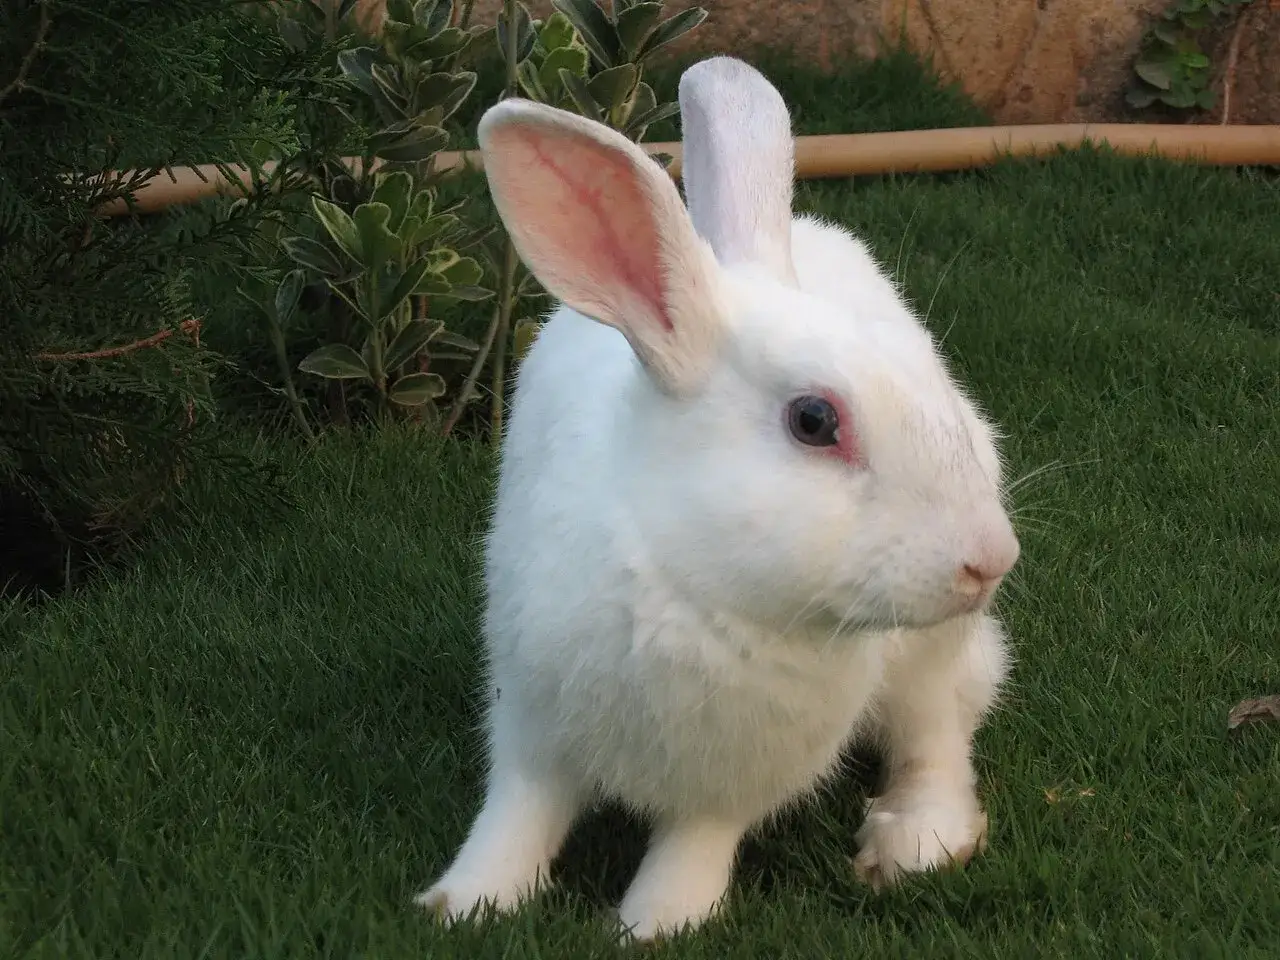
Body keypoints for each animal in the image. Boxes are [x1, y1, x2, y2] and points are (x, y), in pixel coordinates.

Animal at [415, 55, 1021, 942]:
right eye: (813, 421)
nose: (991, 559)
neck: (694, 587)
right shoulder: (528, 721)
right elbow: (515, 816)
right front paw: (463, 904)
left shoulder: (733, 783)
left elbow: (694, 842)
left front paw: (655, 924)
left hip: (930, 657)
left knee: (936, 732)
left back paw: (914, 840)